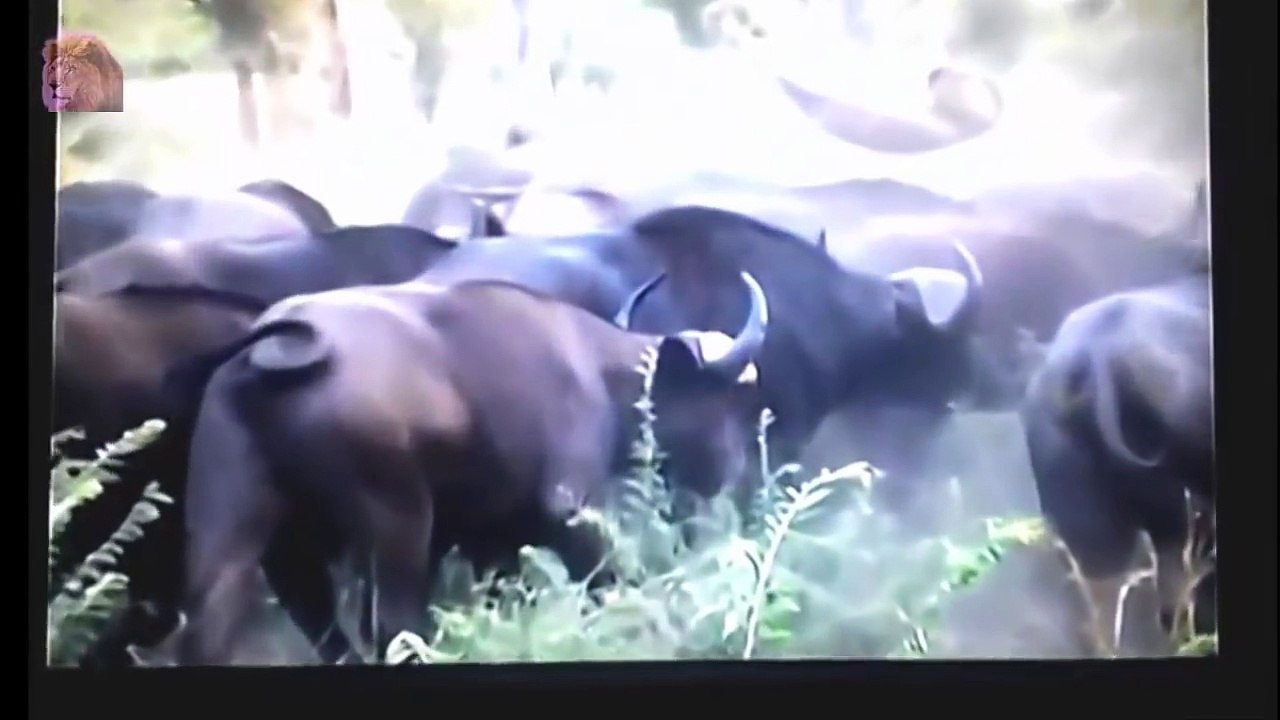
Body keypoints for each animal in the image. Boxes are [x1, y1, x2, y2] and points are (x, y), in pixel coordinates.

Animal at [167, 270, 769, 665]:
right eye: (730, 399)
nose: (735, 473)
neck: (596, 367)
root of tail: (276, 345)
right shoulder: (567, 506)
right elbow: (611, 572)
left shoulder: (486, 536)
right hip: (394, 520)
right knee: (390, 624)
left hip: (241, 527)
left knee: (231, 626)